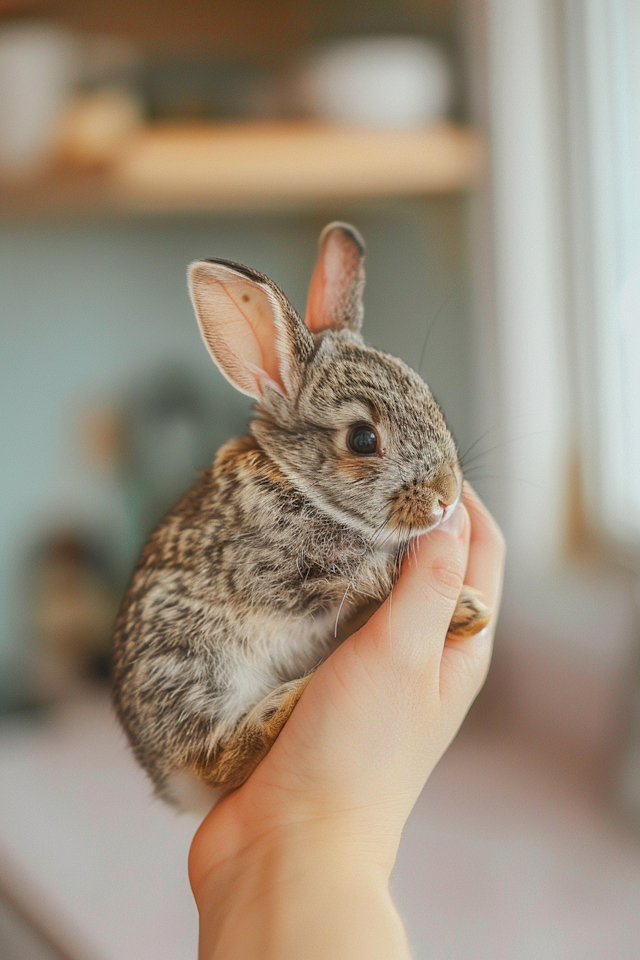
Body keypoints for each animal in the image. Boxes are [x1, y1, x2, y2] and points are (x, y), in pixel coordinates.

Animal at [111, 223, 490, 808]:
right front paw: (466, 607)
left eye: (428, 395)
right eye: (363, 440)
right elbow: (368, 581)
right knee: (218, 759)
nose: (447, 496)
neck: (300, 485)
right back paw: (283, 706)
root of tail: (164, 779)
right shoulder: (286, 573)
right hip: (195, 666)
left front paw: (469, 611)